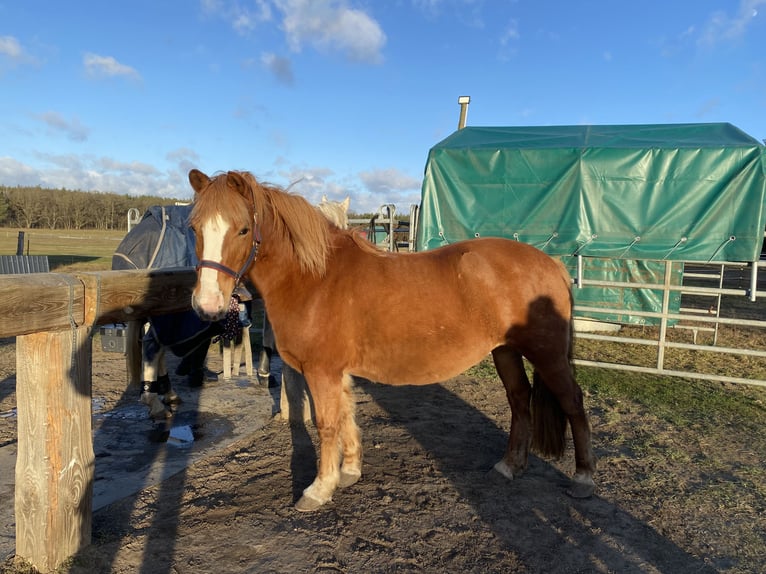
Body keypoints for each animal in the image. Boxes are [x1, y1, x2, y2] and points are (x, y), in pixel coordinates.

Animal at [187, 169, 596, 512]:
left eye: (243, 230)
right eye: (194, 228)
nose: (207, 304)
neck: (314, 278)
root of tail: (551, 264)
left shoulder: (321, 370)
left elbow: (326, 423)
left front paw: (319, 489)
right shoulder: (338, 371)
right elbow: (347, 415)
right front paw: (349, 472)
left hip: (547, 355)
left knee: (572, 403)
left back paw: (583, 478)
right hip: (505, 352)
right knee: (519, 400)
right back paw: (510, 466)